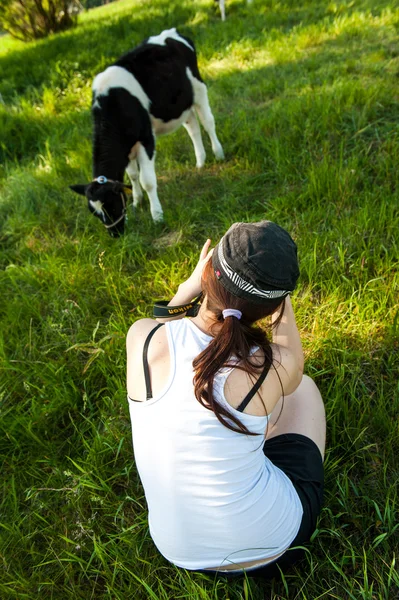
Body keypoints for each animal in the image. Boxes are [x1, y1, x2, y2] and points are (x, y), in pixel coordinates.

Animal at [69, 28, 225, 236]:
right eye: (95, 213)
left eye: (111, 204)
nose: (115, 234)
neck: (114, 104)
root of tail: (171, 32)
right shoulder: (126, 146)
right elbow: (133, 175)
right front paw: (137, 201)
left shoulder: (145, 139)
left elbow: (147, 180)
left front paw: (157, 216)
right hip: (181, 103)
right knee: (193, 126)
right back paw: (200, 162)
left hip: (198, 88)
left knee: (208, 122)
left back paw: (219, 154)